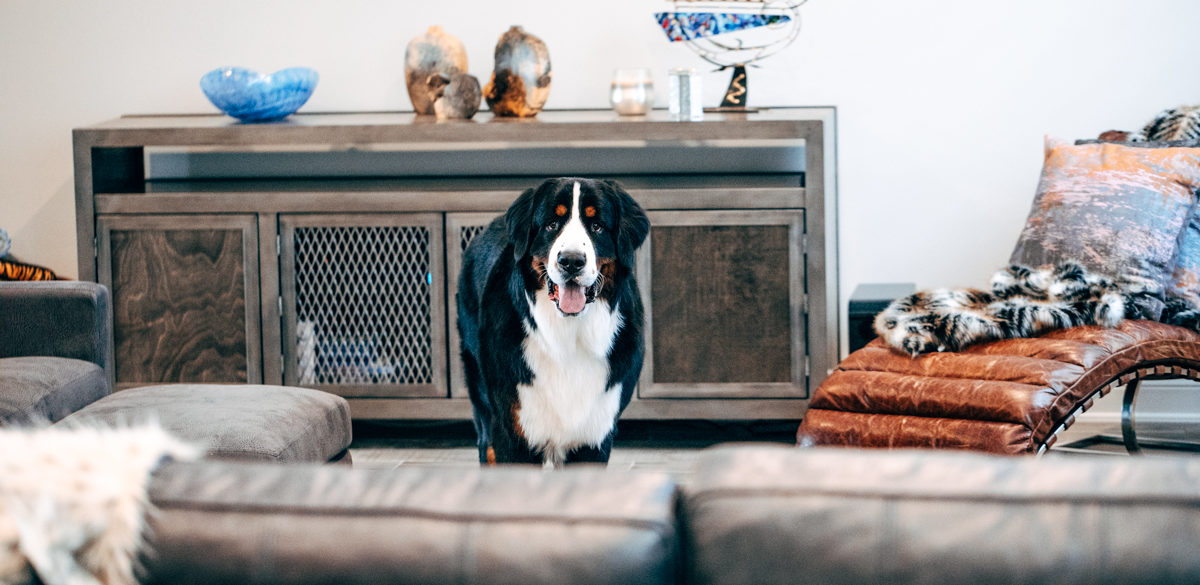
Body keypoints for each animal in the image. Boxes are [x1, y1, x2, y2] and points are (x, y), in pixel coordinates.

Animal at [456, 177, 648, 465]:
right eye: (551, 225)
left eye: (596, 226)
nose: (571, 261)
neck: (568, 337)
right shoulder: (513, 433)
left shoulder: (594, 436)